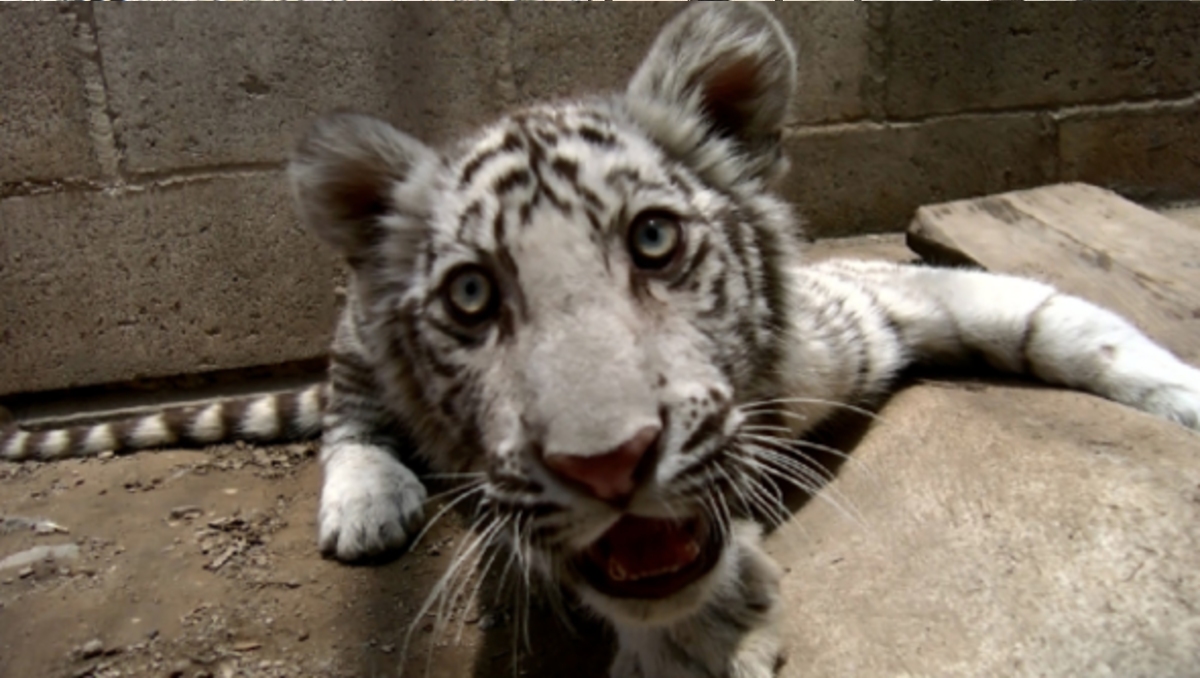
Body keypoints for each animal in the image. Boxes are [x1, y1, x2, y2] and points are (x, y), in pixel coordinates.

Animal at [4, 5, 1200, 677]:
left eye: (655, 240)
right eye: (472, 297)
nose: (610, 464)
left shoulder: (874, 301)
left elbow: (1063, 321)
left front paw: (1179, 394)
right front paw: (702, 637)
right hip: (349, 334)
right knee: (346, 417)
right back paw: (366, 503)